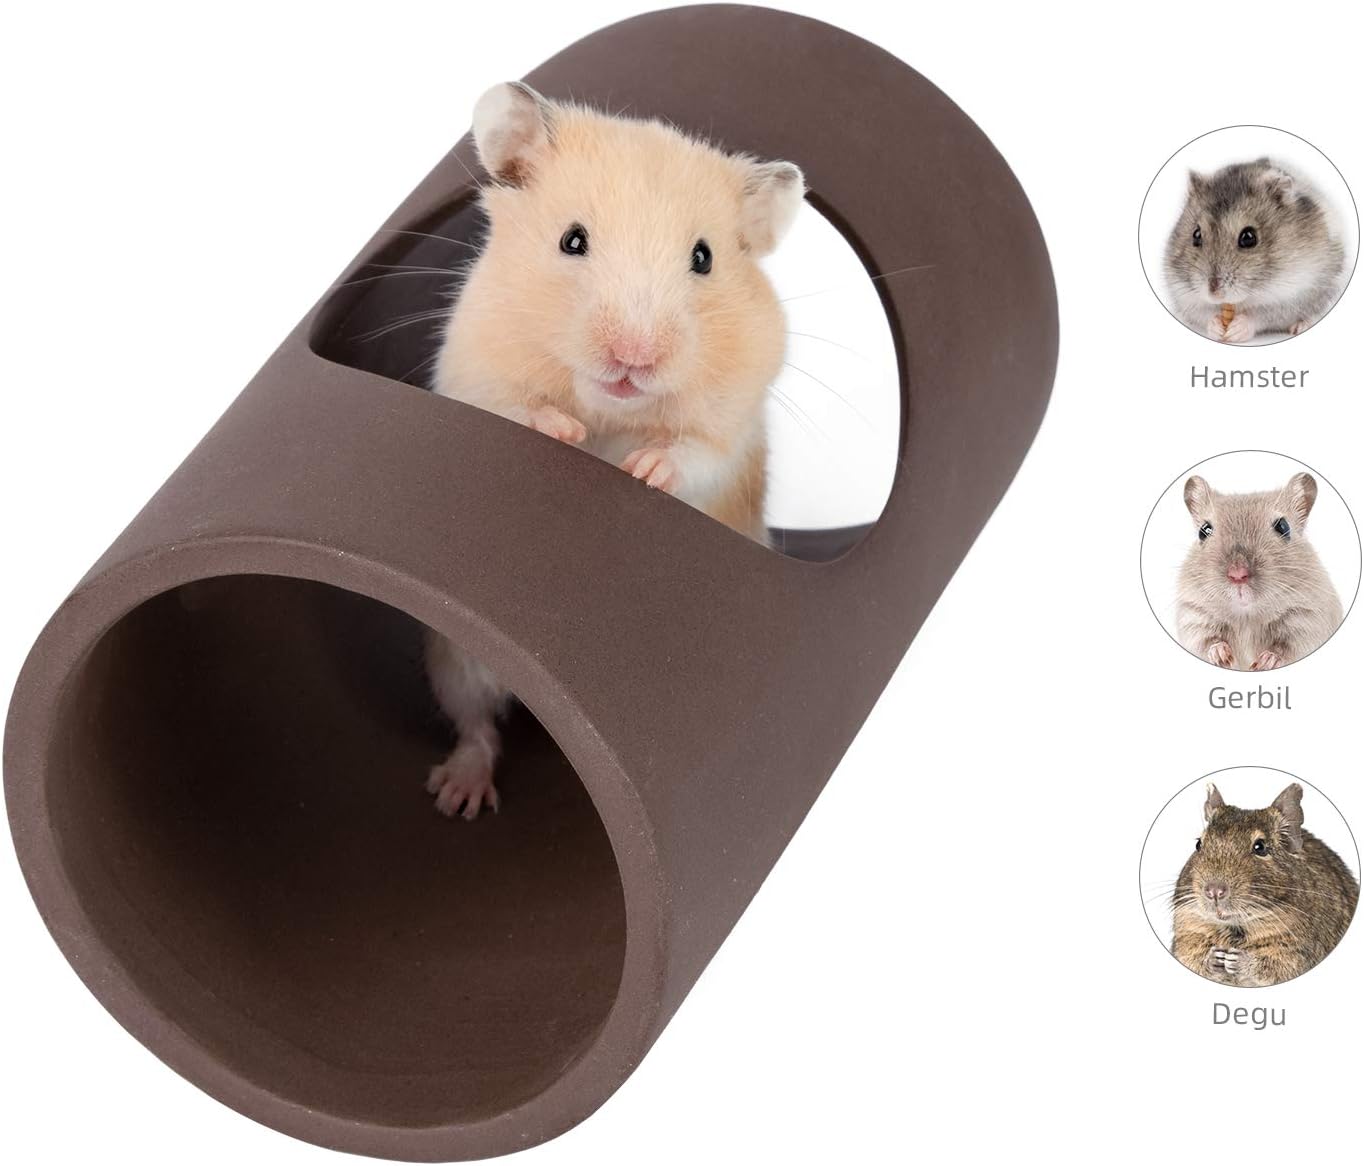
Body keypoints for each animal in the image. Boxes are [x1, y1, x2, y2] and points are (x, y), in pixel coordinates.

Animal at [422, 82, 804, 818]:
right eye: (572, 240)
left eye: (704, 258)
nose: (634, 358)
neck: (611, 407)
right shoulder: (472, 375)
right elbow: (514, 409)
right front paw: (564, 433)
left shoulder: (733, 428)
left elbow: (694, 455)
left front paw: (642, 468)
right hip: (457, 658)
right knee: (477, 723)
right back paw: (456, 798)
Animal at [1163, 158, 1346, 343]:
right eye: (1196, 234)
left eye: (1248, 238)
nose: (1215, 294)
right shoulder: (1186, 298)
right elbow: (1205, 314)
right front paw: (1217, 329)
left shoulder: (1295, 294)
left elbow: (1259, 315)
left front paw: (1235, 330)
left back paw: (1300, 326)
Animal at [1172, 782, 1359, 986]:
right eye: (1198, 844)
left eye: (1260, 847)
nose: (1214, 891)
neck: (1235, 928)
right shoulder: (1187, 936)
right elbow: (1192, 955)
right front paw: (1214, 957)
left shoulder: (1296, 952)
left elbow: (1272, 966)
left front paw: (1237, 960)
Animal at [1175, 472, 1342, 671]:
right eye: (1204, 531)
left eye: (1283, 527)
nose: (1238, 575)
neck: (1247, 614)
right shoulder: (1193, 617)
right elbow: (1208, 640)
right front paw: (1222, 656)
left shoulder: (1310, 620)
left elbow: (1285, 647)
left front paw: (1263, 663)